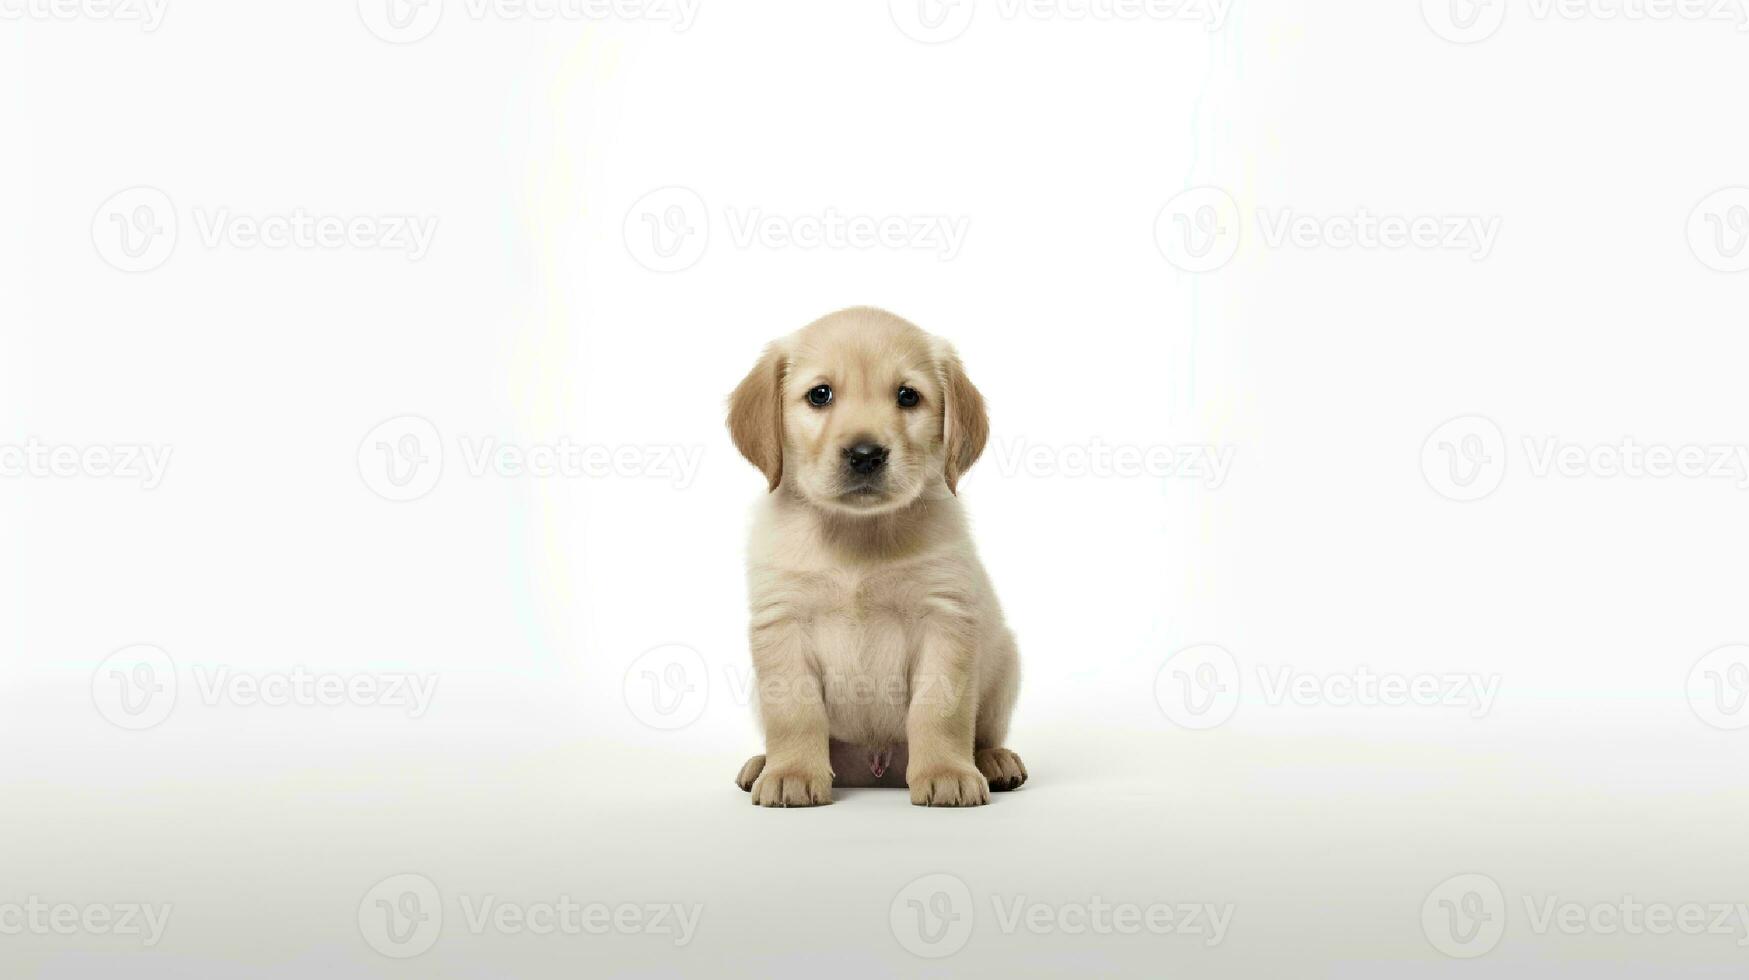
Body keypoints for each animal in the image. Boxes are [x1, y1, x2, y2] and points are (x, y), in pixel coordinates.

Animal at [724, 309, 1021, 808]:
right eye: (820, 394)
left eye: (908, 396)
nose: (866, 454)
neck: (857, 532)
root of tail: (876, 769)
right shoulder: (782, 623)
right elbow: (795, 711)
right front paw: (792, 773)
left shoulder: (944, 619)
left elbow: (939, 710)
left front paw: (946, 771)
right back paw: (762, 764)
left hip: (1005, 663)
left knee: (984, 734)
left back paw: (993, 761)